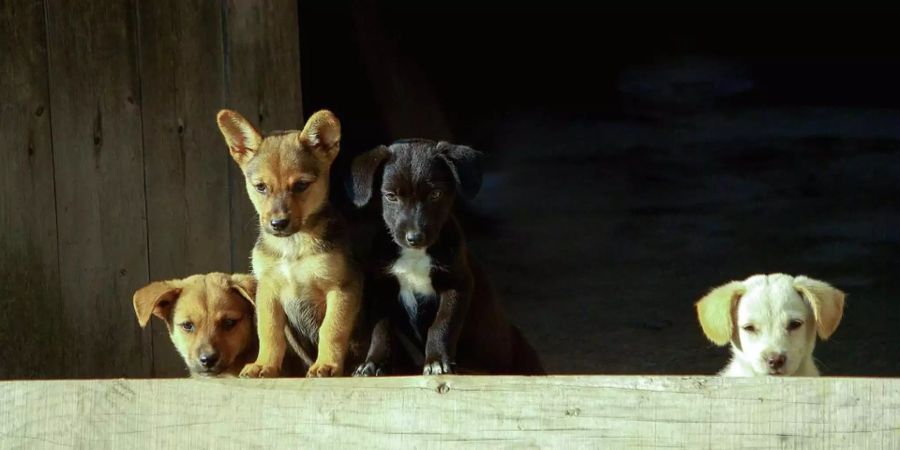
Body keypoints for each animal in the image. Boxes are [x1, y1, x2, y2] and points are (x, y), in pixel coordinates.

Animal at [217, 110, 362, 378]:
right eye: (261, 187)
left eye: (301, 185)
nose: (278, 224)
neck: (292, 245)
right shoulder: (268, 290)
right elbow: (269, 332)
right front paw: (264, 364)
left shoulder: (341, 288)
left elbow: (332, 330)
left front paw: (327, 364)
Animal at [348, 139, 544, 374]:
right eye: (391, 196)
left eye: (436, 194)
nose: (415, 237)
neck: (415, 255)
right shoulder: (380, 288)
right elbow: (381, 328)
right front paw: (374, 362)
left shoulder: (457, 284)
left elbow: (442, 325)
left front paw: (436, 361)